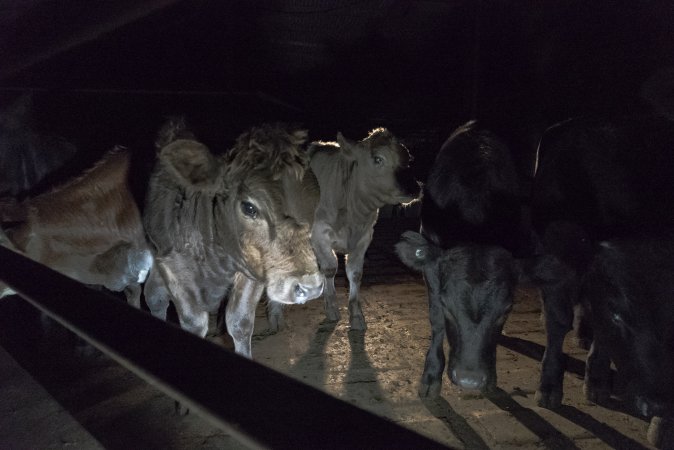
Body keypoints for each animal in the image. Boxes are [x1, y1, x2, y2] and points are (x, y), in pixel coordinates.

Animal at [142, 120, 322, 358]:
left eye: (314, 206)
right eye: (249, 207)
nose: (309, 287)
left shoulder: (253, 266)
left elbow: (239, 323)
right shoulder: (171, 267)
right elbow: (193, 322)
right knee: (154, 295)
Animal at [394, 121, 524, 396]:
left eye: (506, 310)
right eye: (447, 307)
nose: (469, 380)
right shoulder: (431, 263)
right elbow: (435, 320)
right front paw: (431, 375)